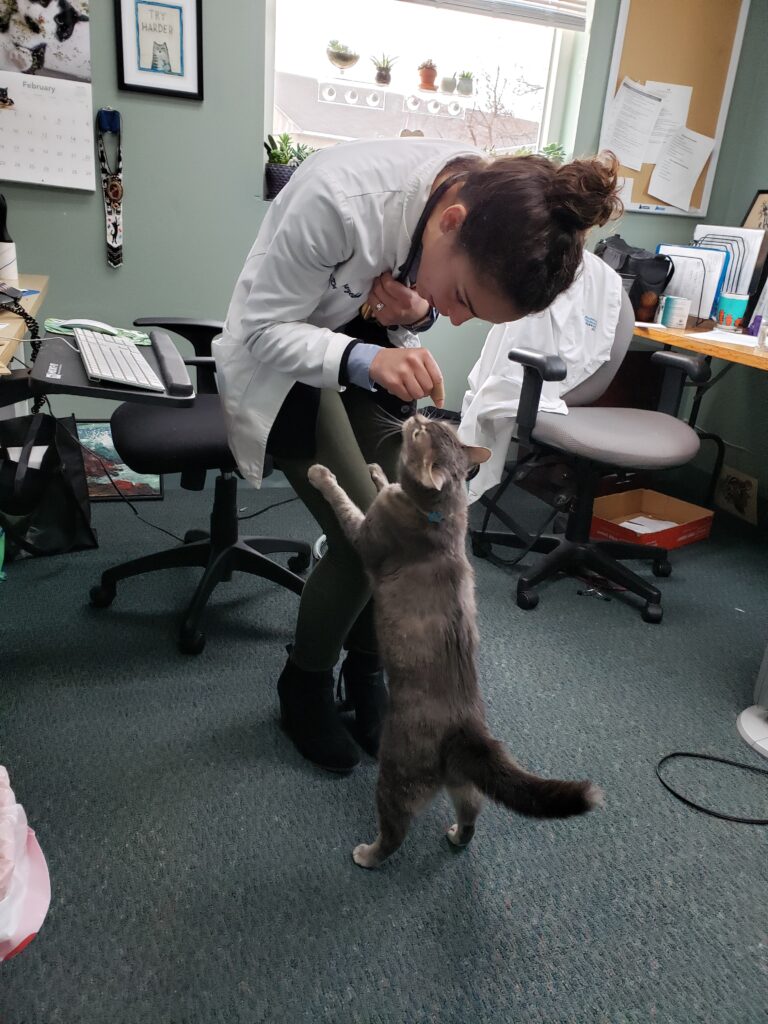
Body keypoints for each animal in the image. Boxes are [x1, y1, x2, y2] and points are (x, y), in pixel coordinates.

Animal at [307, 411, 602, 868]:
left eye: (418, 433)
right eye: (432, 425)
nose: (416, 413)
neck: (440, 512)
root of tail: (468, 731)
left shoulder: (365, 536)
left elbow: (346, 503)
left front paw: (323, 474)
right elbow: (381, 482)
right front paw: (375, 470)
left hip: (397, 775)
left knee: (395, 830)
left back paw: (368, 854)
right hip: (465, 786)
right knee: (472, 814)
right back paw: (456, 835)